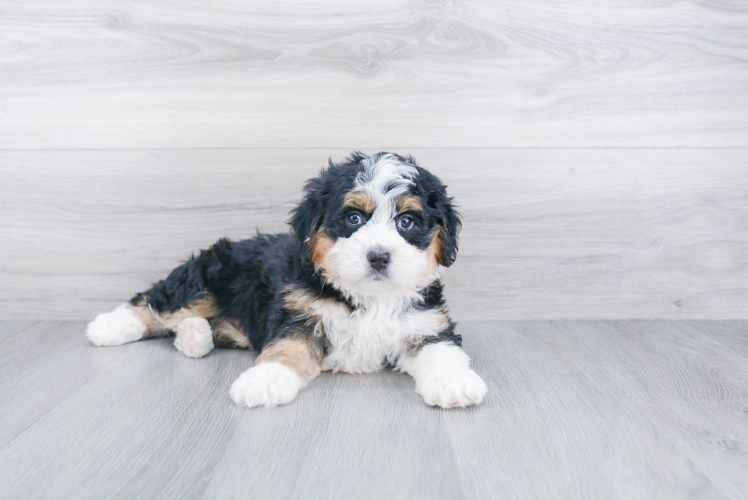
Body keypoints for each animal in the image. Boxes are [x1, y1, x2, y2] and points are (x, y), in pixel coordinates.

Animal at [87, 153, 488, 410]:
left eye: (407, 222)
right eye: (353, 218)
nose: (378, 256)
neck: (369, 298)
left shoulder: (426, 323)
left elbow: (442, 350)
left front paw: (454, 382)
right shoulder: (299, 315)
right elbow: (286, 349)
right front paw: (264, 380)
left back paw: (193, 337)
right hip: (208, 275)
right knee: (158, 301)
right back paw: (110, 326)